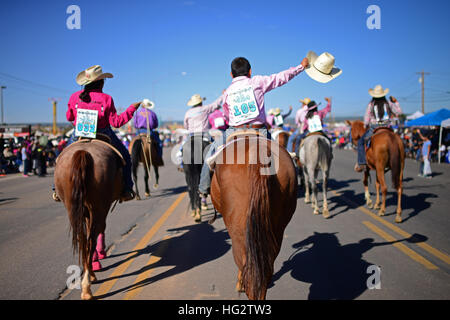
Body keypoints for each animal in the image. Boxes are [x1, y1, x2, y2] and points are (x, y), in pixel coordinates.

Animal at [53, 140, 124, 300]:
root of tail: (83, 152)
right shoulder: (99, 210)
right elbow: (101, 230)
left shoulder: (84, 212)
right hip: (98, 208)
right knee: (91, 240)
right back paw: (88, 284)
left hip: (72, 208)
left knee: (83, 240)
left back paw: (87, 281)